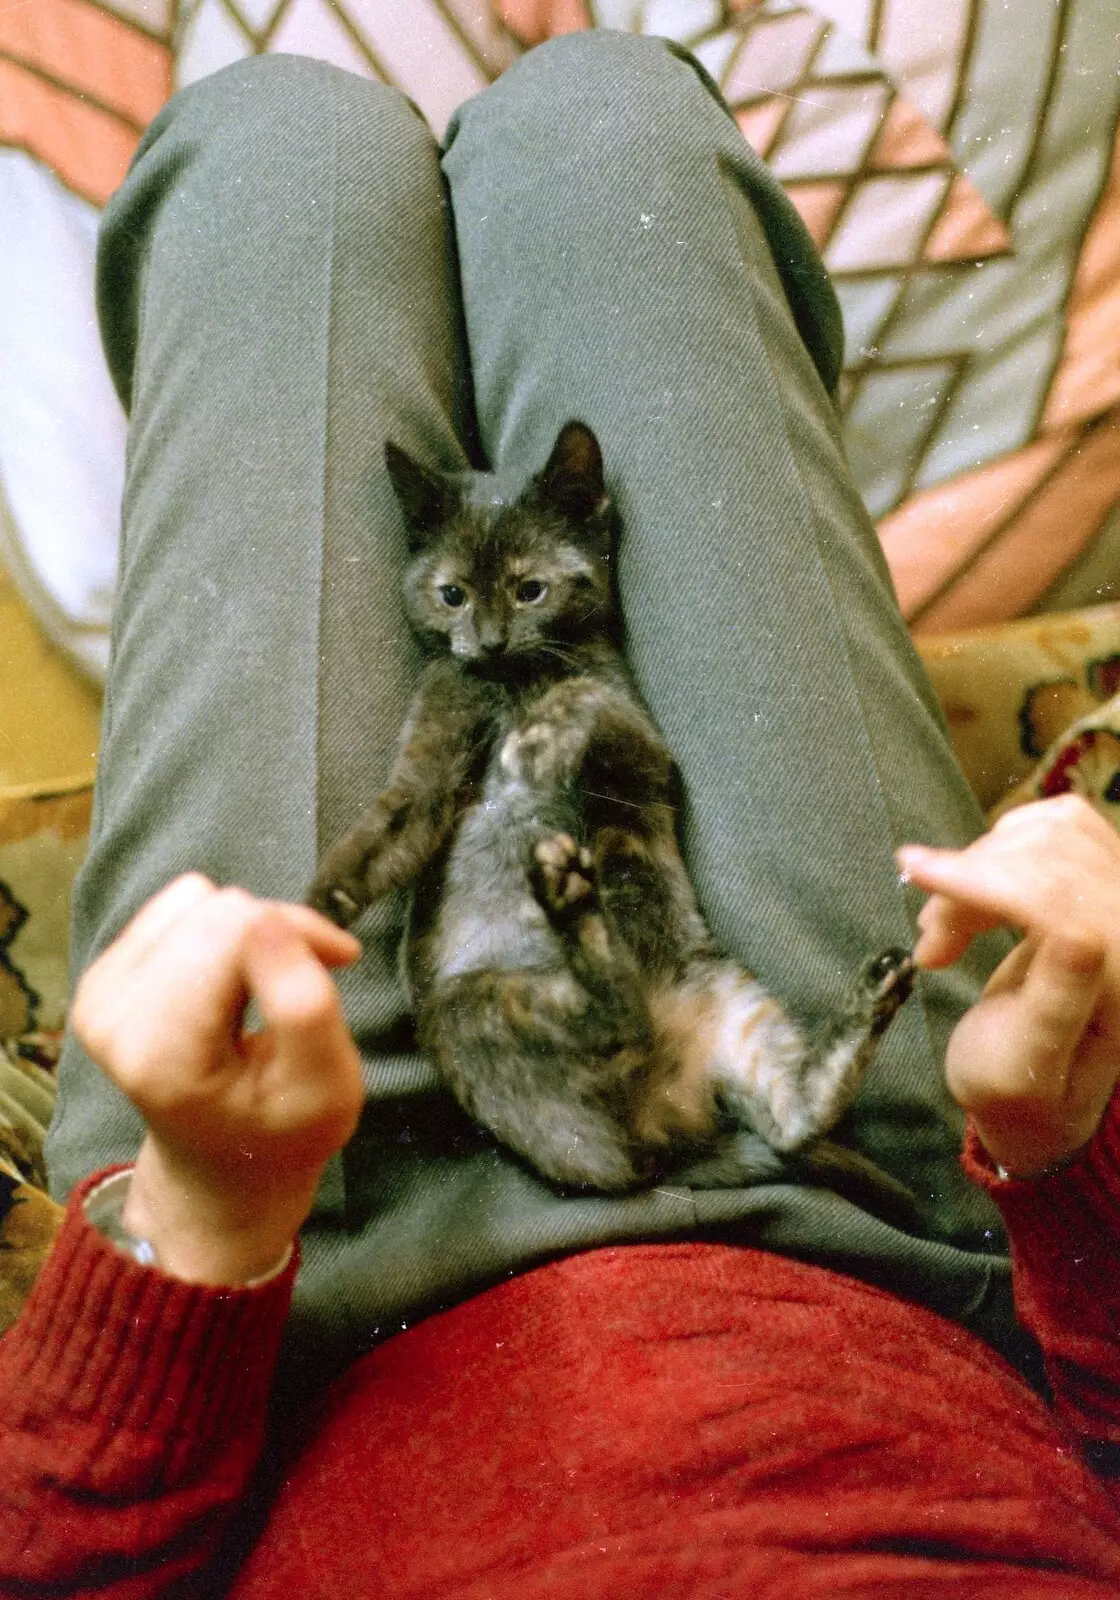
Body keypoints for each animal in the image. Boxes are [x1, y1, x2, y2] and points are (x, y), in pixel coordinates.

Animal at [304, 425, 908, 1203]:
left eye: (530, 589)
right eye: (452, 594)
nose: (489, 641)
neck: (512, 682)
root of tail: (661, 1142)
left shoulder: (645, 746)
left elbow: (585, 697)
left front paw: (536, 740)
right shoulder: (427, 774)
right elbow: (381, 836)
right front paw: (316, 909)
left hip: (715, 999)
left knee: (737, 1084)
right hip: (487, 1008)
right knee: (713, 1074)